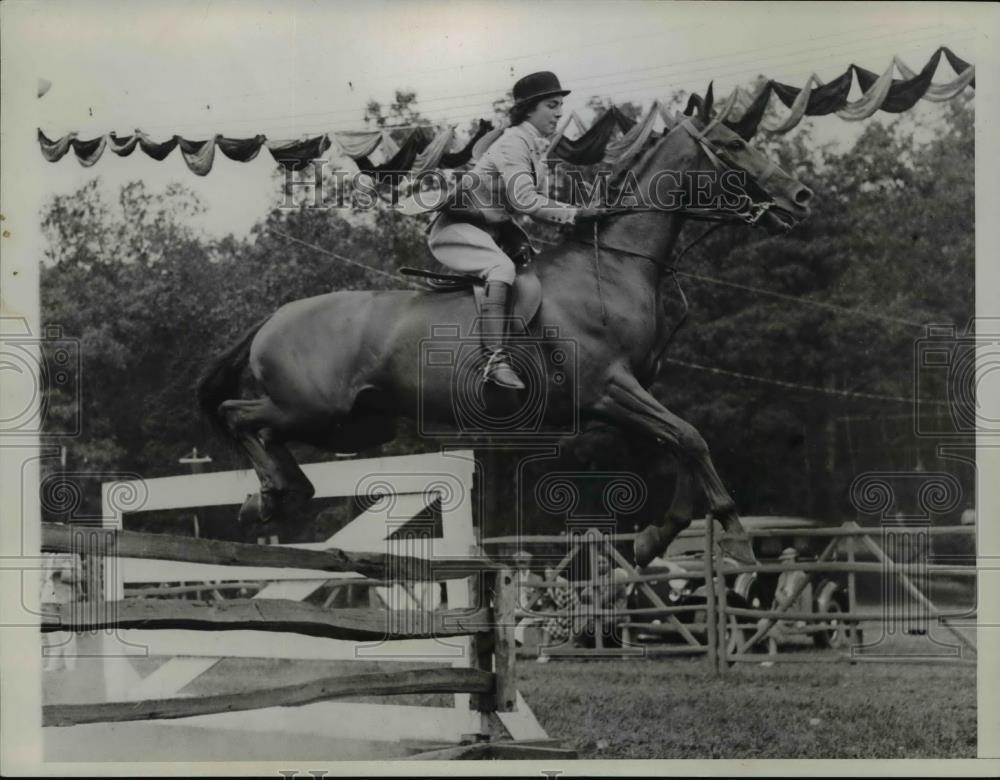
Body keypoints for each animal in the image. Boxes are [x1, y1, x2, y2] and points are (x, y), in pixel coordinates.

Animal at [195, 88, 812, 568]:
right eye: (731, 146)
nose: (801, 198)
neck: (612, 266)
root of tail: (272, 317)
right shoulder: (609, 389)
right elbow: (690, 437)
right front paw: (736, 538)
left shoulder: (627, 398)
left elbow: (682, 443)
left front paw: (653, 539)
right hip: (314, 408)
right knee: (238, 414)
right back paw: (272, 496)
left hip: (354, 424)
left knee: (263, 429)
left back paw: (275, 496)